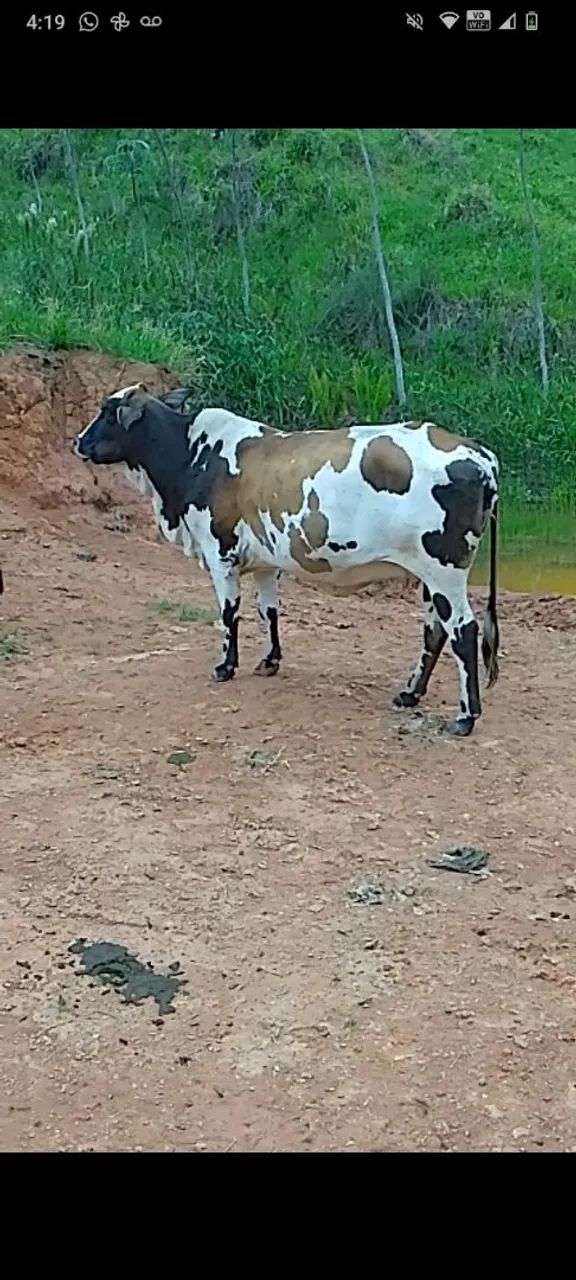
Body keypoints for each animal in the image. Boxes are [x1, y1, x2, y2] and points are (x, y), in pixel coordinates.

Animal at [73, 384, 500, 736]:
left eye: (108, 412)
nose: (78, 442)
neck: (192, 456)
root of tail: (480, 456)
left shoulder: (220, 554)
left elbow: (229, 613)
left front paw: (225, 666)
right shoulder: (265, 562)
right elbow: (269, 611)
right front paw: (269, 661)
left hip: (444, 571)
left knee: (463, 631)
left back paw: (465, 717)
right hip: (429, 575)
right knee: (435, 631)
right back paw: (410, 694)